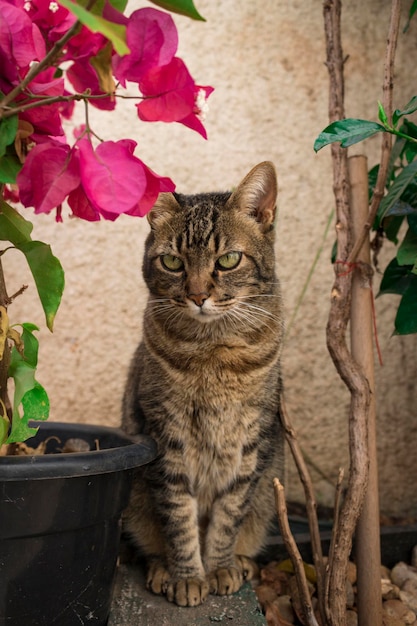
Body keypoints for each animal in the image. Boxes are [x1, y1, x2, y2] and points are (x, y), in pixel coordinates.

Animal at [120, 160, 282, 604]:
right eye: (173, 263)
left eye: (227, 260)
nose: (197, 295)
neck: (213, 352)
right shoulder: (165, 434)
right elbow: (178, 515)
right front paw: (188, 575)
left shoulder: (251, 441)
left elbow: (229, 515)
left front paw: (220, 567)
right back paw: (162, 569)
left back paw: (241, 564)